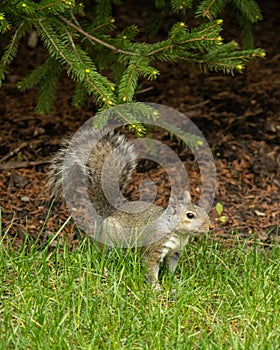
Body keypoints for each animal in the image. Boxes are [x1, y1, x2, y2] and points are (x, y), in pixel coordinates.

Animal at [48, 126, 212, 290]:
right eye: (190, 215)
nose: (211, 227)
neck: (177, 233)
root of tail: (112, 211)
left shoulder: (174, 252)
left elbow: (171, 268)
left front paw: (176, 281)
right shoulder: (153, 248)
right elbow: (150, 267)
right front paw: (156, 288)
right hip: (112, 238)